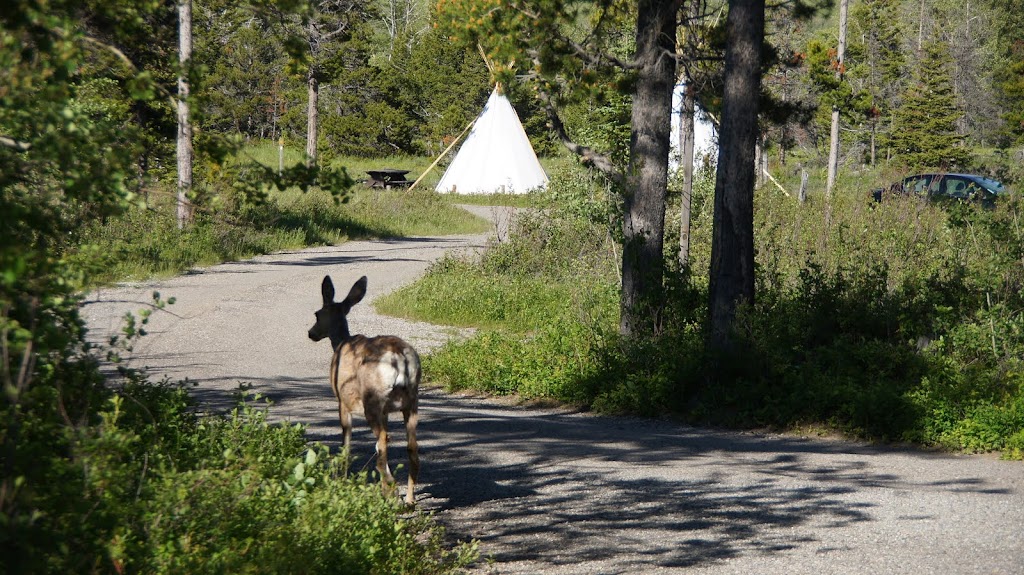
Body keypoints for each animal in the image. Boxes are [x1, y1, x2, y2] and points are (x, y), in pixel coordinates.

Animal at [303, 276, 419, 503]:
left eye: (317, 314)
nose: (311, 333)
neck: (340, 342)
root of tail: (400, 358)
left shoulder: (342, 401)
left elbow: (346, 444)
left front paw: (342, 480)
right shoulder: (386, 411)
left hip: (372, 400)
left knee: (383, 441)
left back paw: (392, 492)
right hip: (410, 401)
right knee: (411, 448)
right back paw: (408, 500)